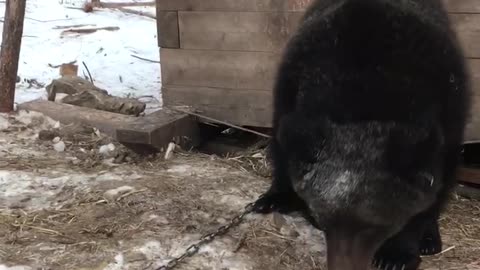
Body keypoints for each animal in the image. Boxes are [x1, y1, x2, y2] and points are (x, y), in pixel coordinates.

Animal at [253, 0, 470, 270]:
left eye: (376, 227)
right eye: (322, 219)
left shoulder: (446, 114)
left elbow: (430, 192)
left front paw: (398, 253)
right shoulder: (291, 90)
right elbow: (284, 149)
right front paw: (273, 197)